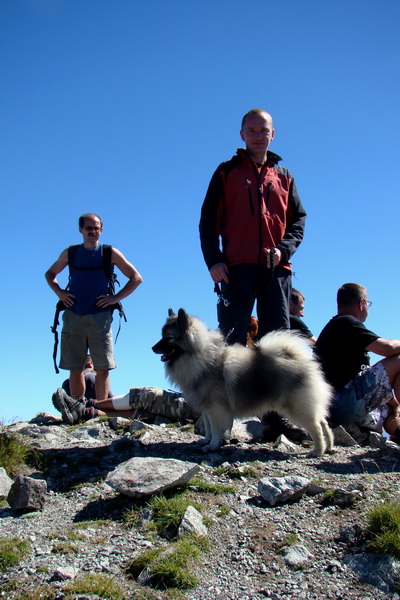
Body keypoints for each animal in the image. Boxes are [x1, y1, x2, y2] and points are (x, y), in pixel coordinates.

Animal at [152, 310, 332, 454]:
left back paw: (317, 451)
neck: (201, 358)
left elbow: (216, 429)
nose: (153, 348)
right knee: (324, 423)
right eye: (162, 336)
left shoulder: (216, 408)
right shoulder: (207, 409)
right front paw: (206, 441)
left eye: (169, 337)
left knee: (316, 427)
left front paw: (213, 446)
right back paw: (329, 446)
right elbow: (208, 427)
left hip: (296, 409)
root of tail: (299, 360)